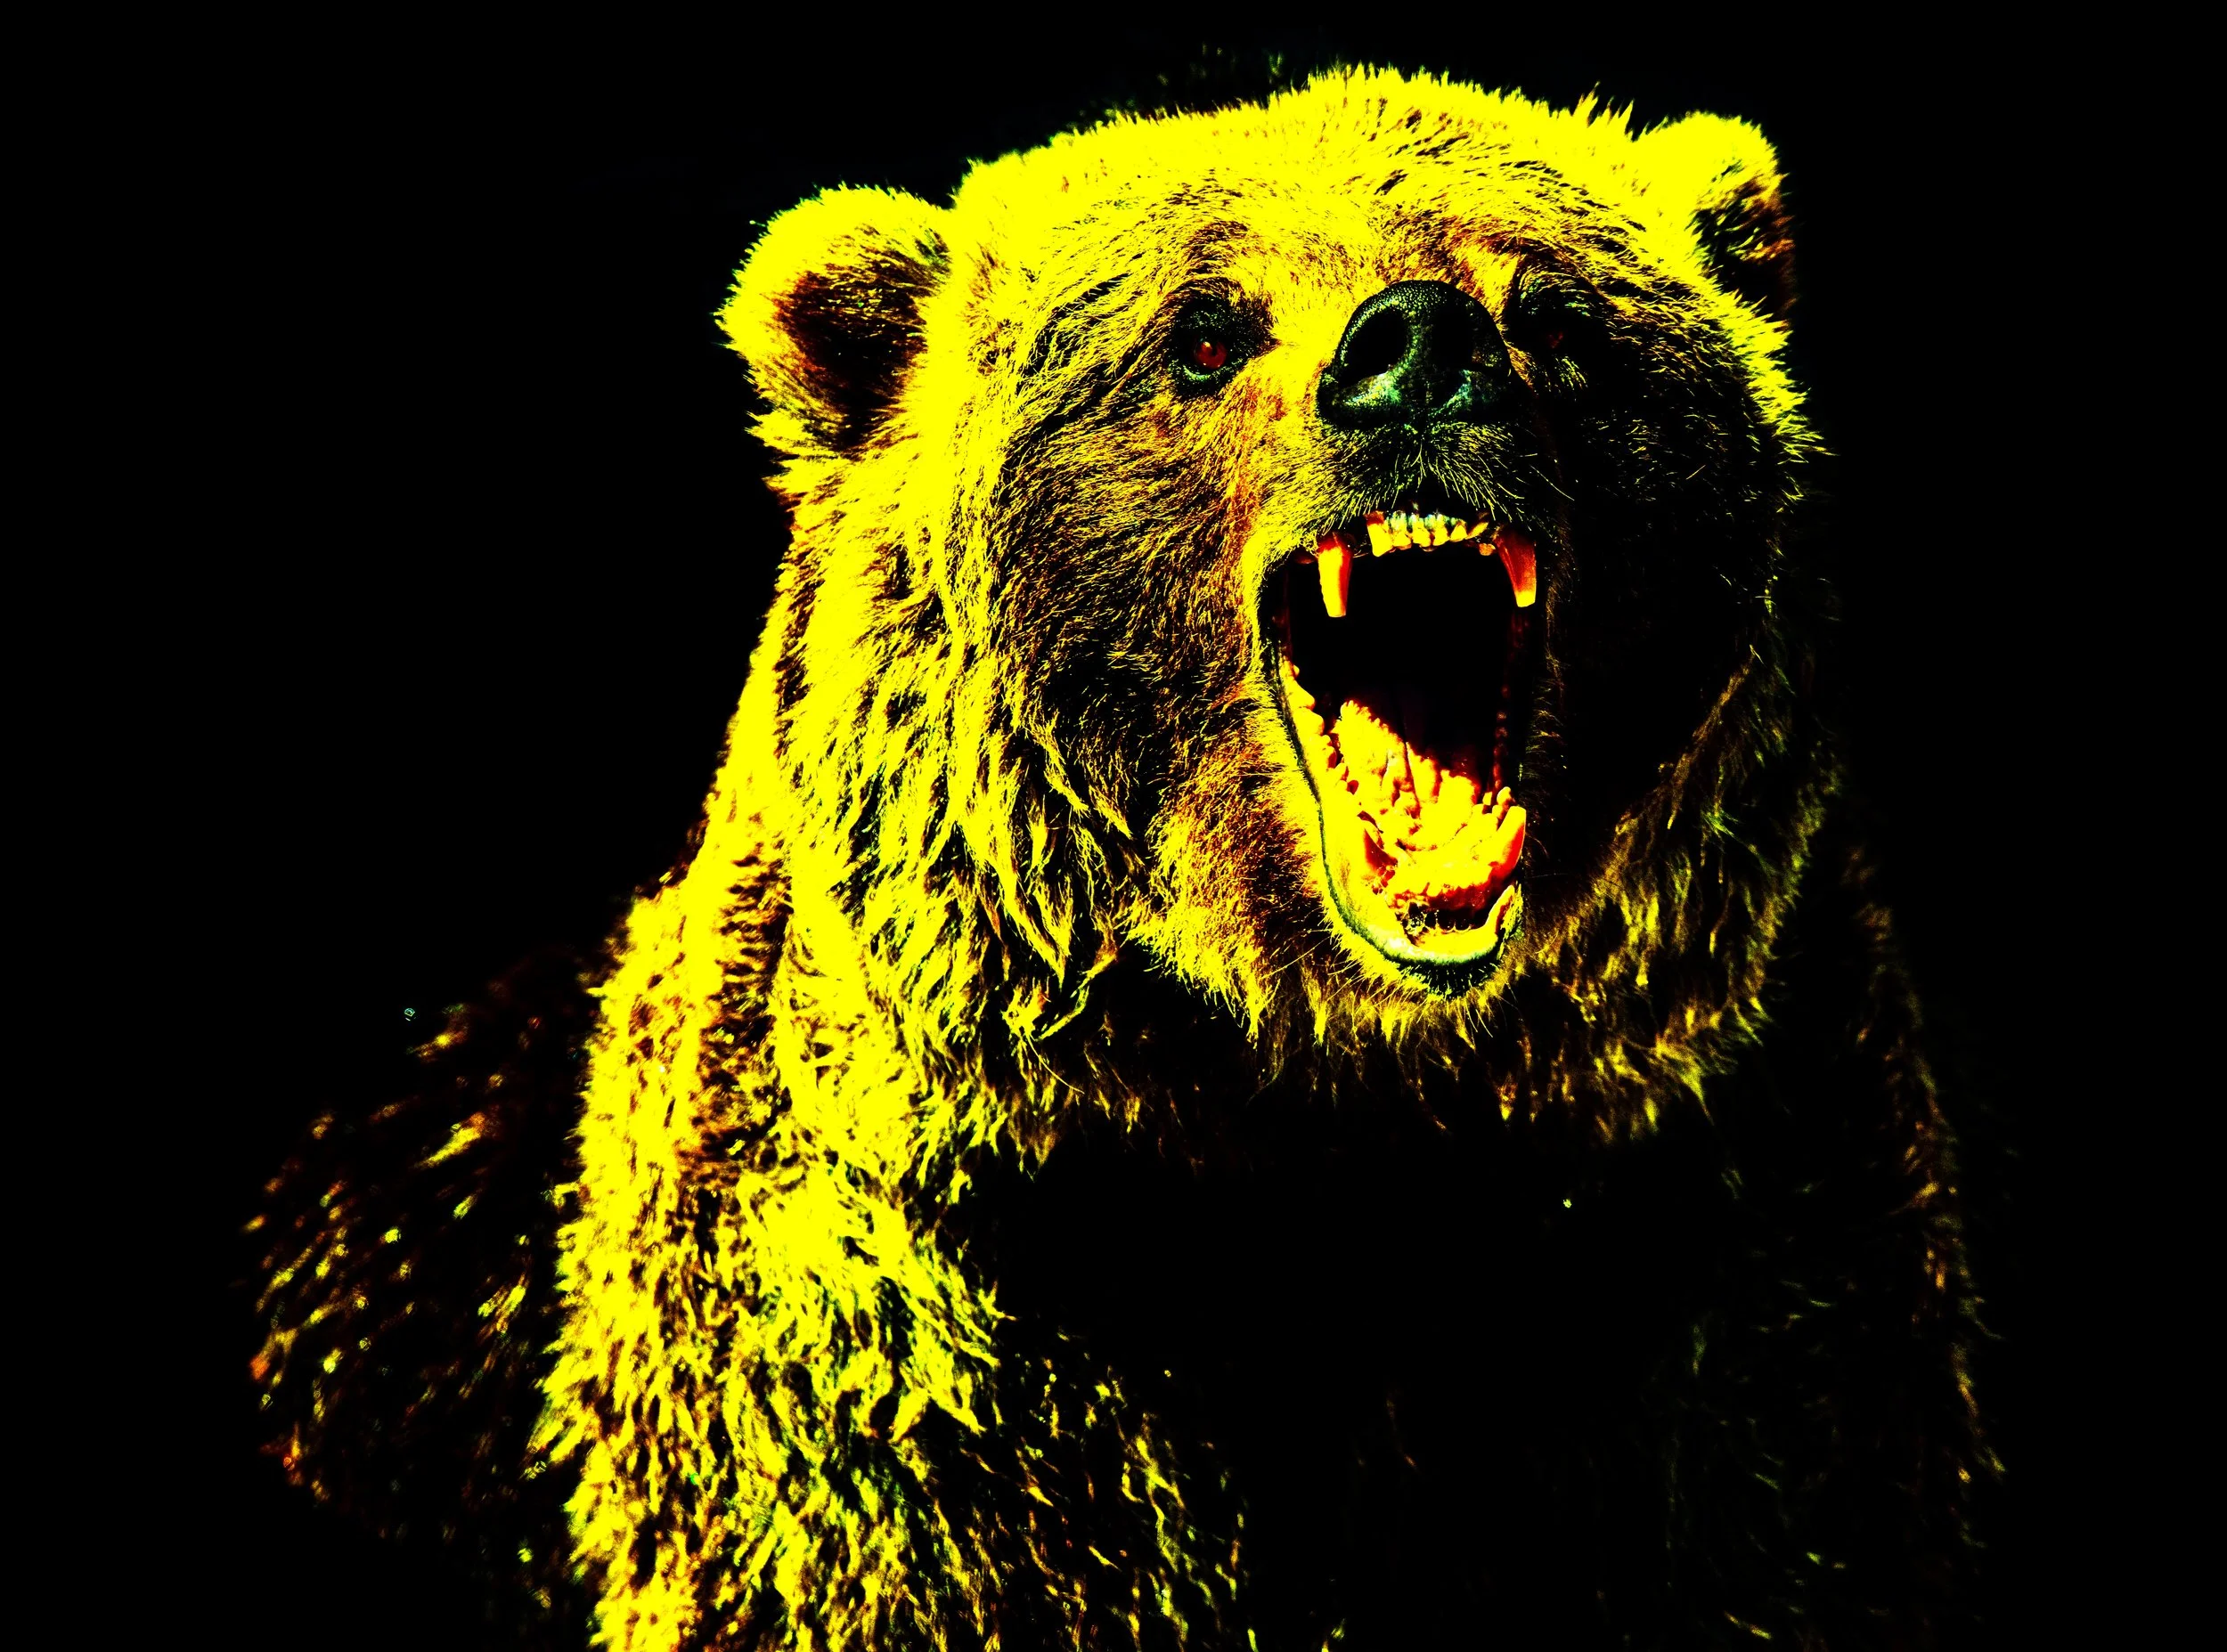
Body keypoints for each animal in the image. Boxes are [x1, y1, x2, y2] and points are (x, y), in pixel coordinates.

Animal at [251, 66, 1989, 1649]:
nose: (1419, 349)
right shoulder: (931, 1335)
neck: (1329, 1110)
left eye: (1554, 312)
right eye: (1205, 332)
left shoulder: (1723, 1257)